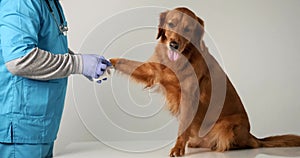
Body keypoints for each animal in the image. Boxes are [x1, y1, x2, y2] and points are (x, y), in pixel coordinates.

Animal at [109, 6, 300, 156]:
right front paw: (108, 61)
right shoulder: (153, 70)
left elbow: (183, 126)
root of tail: (252, 136)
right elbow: (126, 63)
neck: (178, 61)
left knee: (240, 143)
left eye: (188, 29)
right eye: (171, 24)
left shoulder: (189, 96)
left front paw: (178, 148)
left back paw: (220, 146)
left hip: (226, 126)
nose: (173, 45)